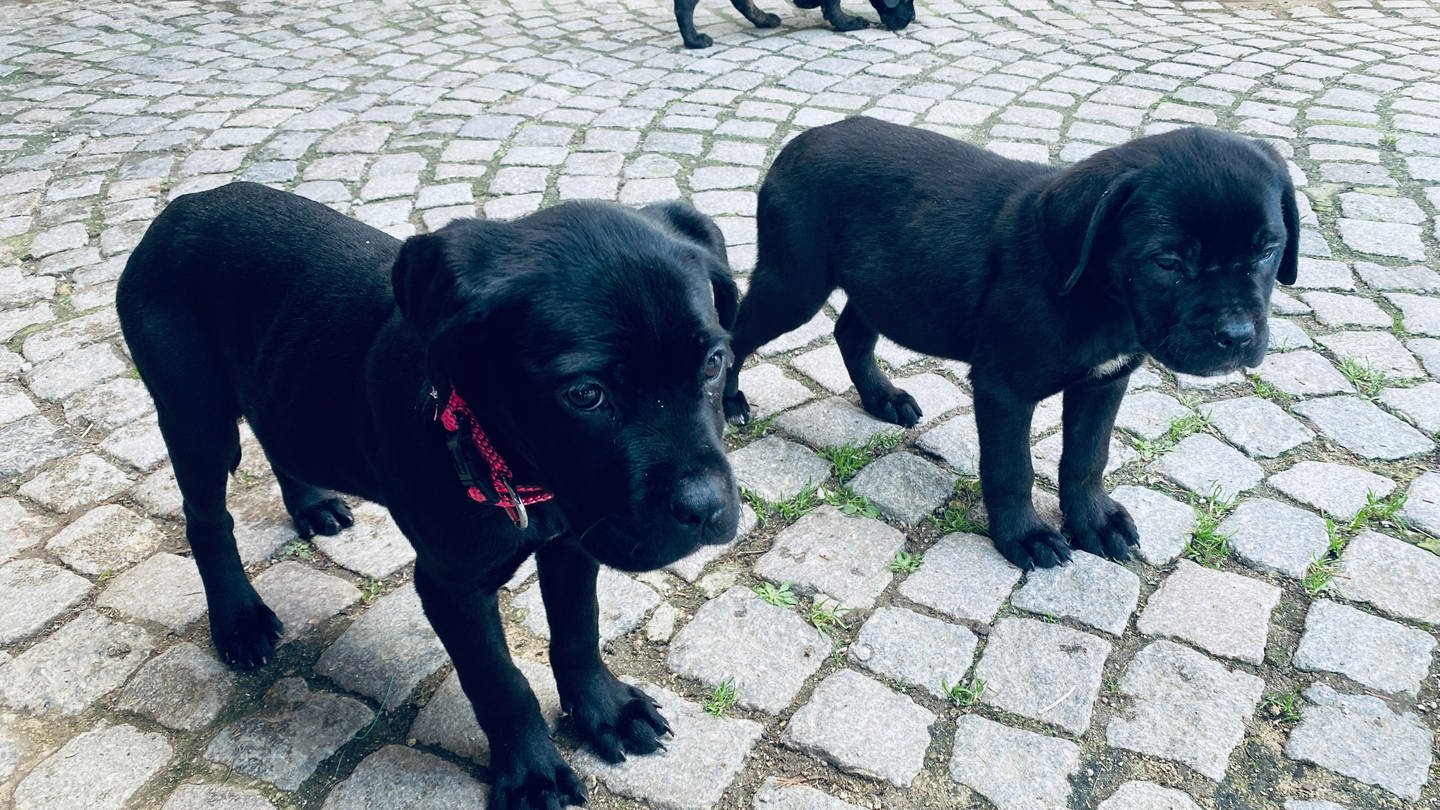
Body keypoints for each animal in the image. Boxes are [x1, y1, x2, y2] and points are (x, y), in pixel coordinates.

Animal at [116, 183, 737, 807]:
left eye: (715, 361)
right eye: (585, 394)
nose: (708, 508)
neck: (506, 459)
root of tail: (186, 204)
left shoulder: (574, 541)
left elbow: (579, 631)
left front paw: (605, 711)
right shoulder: (451, 586)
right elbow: (500, 684)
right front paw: (532, 773)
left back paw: (312, 504)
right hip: (195, 418)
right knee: (207, 521)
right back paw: (238, 619)